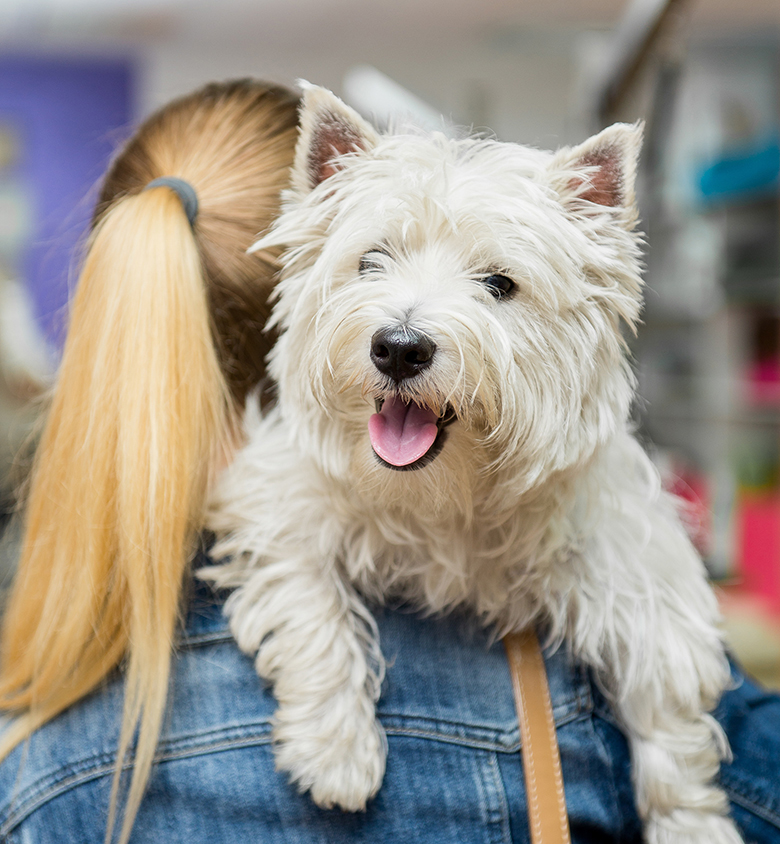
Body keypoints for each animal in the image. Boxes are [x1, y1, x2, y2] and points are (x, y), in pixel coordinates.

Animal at [204, 85, 740, 844]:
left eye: (499, 283)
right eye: (371, 260)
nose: (399, 347)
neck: (449, 497)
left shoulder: (640, 567)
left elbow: (669, 714)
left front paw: (692, 824)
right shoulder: (275, 500)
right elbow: (311, 605)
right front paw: (336, 751)